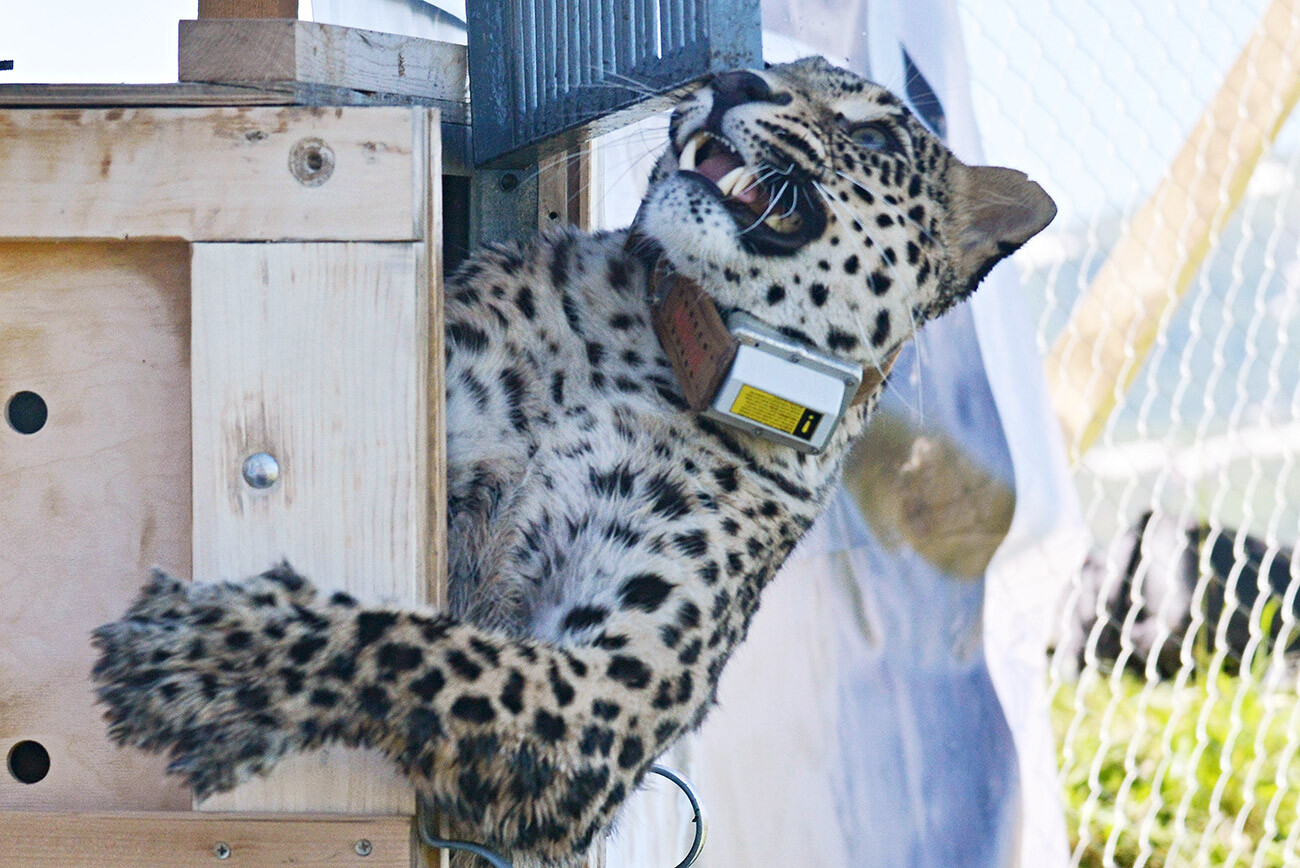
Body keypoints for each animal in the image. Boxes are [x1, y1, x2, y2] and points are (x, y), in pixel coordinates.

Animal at [89, 57, 1055, 862]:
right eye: (780, 68)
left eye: (874, 136)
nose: (735, 78)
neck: (639, 354)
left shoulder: (605, 702)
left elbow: (427, 650)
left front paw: (214, 657)